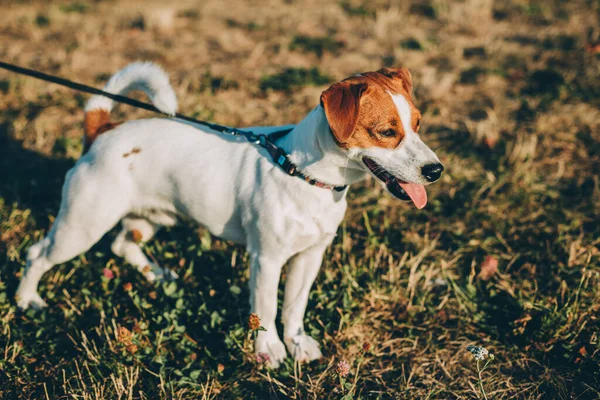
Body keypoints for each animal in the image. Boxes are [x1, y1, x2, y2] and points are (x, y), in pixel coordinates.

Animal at [16, 63, 442, 368]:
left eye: (418, 124)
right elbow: (266, 308)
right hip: (82, 225)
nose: (436, 170)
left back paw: (158, 275)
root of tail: (103, 129)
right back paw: (26, 300)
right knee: (38, 254)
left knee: (123, 244)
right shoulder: (267, 259)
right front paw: (269, 350)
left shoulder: (310, 256)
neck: (304, 174)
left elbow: (294, 306)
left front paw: (296, 343)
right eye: (386, 131)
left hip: (151, 218)